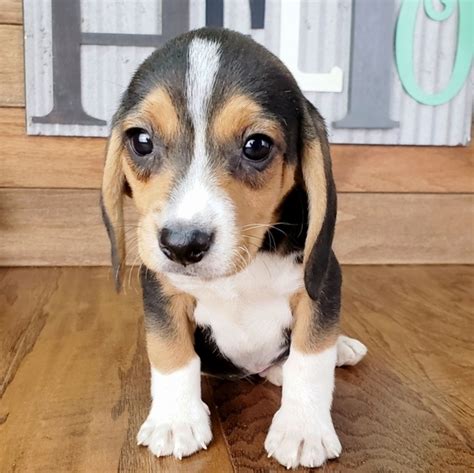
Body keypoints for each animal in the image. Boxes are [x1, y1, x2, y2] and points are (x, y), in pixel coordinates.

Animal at [101, 27, 366, 466]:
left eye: (256, 146)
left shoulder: (322, 280)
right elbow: (171, 353)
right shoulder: (161, 289)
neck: (243, 266)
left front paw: (303, 429)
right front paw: (175, 420)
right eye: (141, 141)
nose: (182, 245)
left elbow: (310, 359)